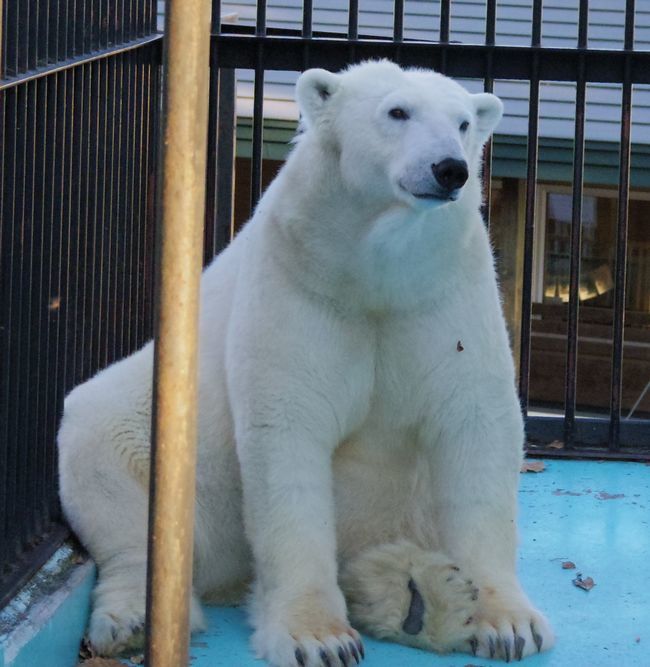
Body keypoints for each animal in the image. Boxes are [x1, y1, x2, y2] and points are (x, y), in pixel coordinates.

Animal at [58, 61, 552, 667]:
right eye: (397, 111)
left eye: (463, 123)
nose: (449, 169)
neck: (374, 271)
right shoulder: (301, 284)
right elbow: (289, 433)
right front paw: (319, 638)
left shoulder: (443, 292)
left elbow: (475, 424)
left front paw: (508, 624)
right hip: (147, 430)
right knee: (114, 476)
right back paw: (134, 617)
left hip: (407, 512)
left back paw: (420, 596)